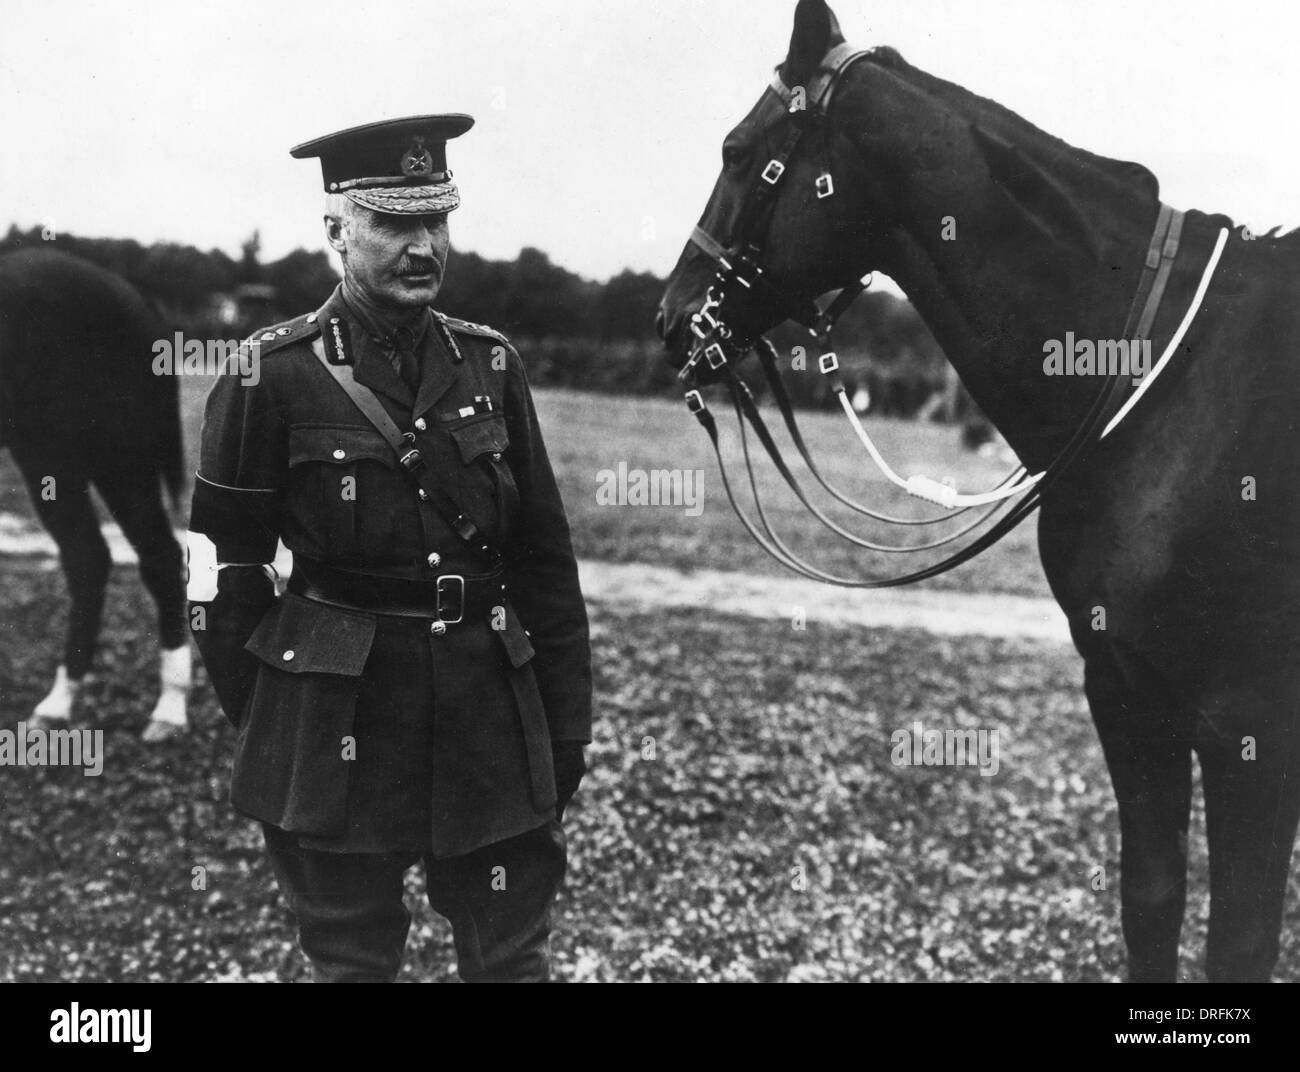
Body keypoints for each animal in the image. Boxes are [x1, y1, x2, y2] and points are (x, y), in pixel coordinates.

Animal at [0, 246, 189, 738]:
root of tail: (134, 297)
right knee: (89, 558)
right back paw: (59, 703)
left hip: (102, 461)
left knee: (152, 557)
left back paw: (169, 708)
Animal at [660, 0, 1300, 982]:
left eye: (738, 150)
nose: (669, 318)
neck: (1170, 386)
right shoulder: (1128, 693)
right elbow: (1152, 902)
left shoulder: (1250, 729)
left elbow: (1239, 939)